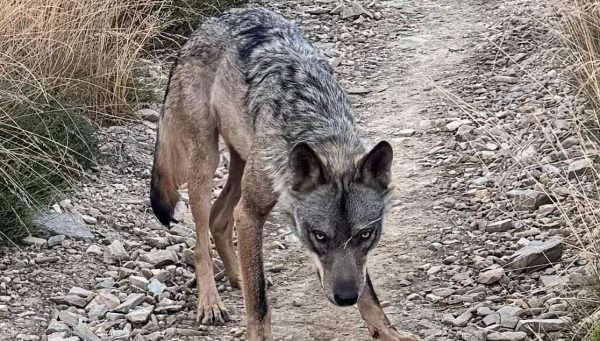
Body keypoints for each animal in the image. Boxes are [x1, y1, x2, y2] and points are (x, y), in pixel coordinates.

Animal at [150, 5, 420, 340]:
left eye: (365, 235)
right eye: (319, 236)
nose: (345, 298)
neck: (317, 125)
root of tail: (210, 21)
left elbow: (368, 291)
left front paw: (386, 330)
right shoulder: (250, 213)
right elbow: (259, 305)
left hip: (241, 166)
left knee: (219, 219)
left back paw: (238, 277)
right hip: (206, 161)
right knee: (200, 243)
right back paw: (211, 303)